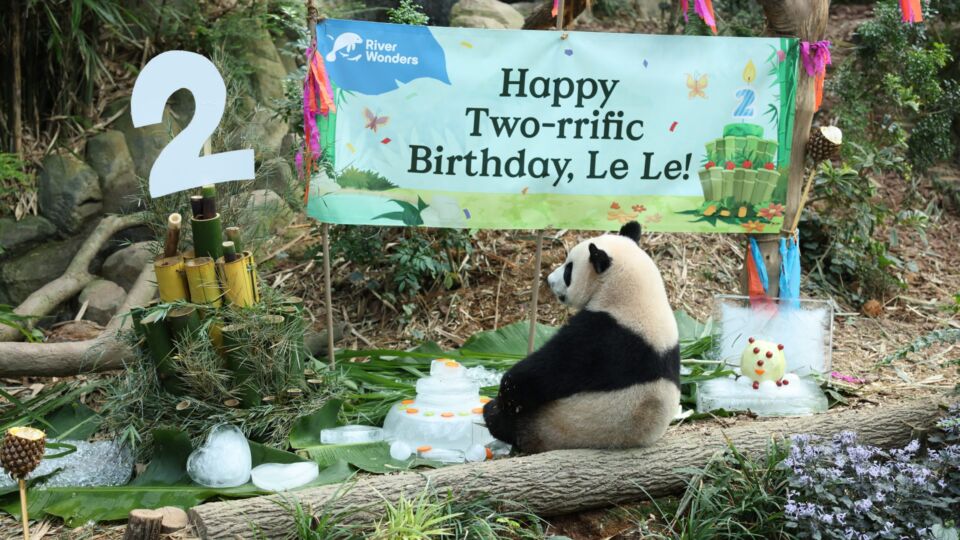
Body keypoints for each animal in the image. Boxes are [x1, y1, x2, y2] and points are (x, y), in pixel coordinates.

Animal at [484, 221, 680, 454]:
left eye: (569, 269)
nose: (549, 280)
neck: (636, 296)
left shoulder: (602, 337)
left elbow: (541, 374)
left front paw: (504, 395)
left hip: (555, 423)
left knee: (507, 423)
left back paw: (492, 414)